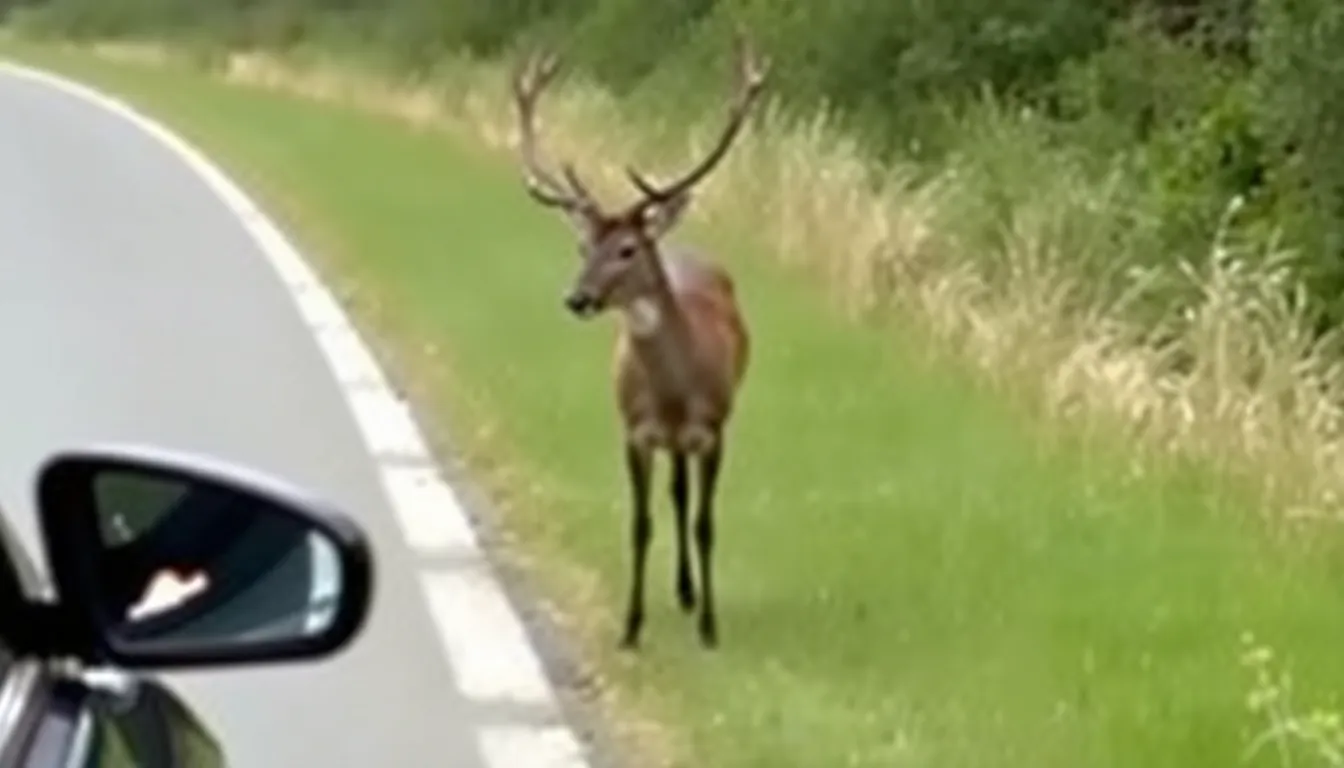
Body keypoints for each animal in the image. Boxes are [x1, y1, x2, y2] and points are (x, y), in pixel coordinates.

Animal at [510, 32, 769, 650]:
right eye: (584, 247)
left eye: (628, 249)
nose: (576, 298)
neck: (675, 395)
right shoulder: (634, 431)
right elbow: (639, 523)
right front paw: (630, 627)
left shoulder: (713, 430)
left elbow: (706, 524)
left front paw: (710, 628)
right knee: (673, 493)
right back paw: (681, 590)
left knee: (686, 498)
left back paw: (691, 595)